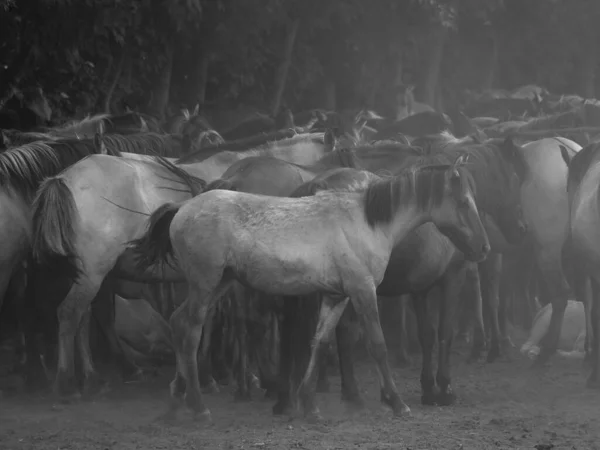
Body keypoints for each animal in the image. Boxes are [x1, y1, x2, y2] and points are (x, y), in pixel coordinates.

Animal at [29, 130, 332, 398]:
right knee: (70, 314)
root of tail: (63, 178)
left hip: (93, 275)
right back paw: (68, 384)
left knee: (86, 318)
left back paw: (98, 377)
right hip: (93, 274)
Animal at [130, 159, 488, 422]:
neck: (366, 222)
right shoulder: (363, 290)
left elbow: (320, 341)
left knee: (179, 324)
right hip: (206, 284)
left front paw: (309, 405)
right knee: (191, 331)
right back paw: (199, 406)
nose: (483, 247)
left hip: (221, 283)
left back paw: (177, 401)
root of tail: (182, 209)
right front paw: (397, 401)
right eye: (463, 202)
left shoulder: (336, 295)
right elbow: (377, 344)